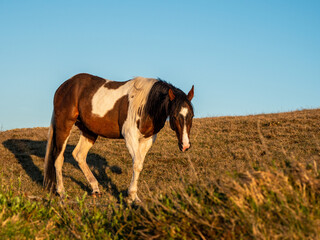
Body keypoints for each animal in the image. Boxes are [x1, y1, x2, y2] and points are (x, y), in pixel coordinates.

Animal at [43, 73, 194, 202]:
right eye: (174, 116)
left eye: (191, 115)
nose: (185, 145)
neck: (146, 104)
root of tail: (64, 86)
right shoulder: (130, 136)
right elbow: (137, 164)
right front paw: (132, 196)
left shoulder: (147, 140)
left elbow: (139, 164)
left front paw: (134, 196)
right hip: (64, 126)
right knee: (58, 158)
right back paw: (62, 192)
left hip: (89, 131)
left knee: (79, 155)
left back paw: (95, 189)